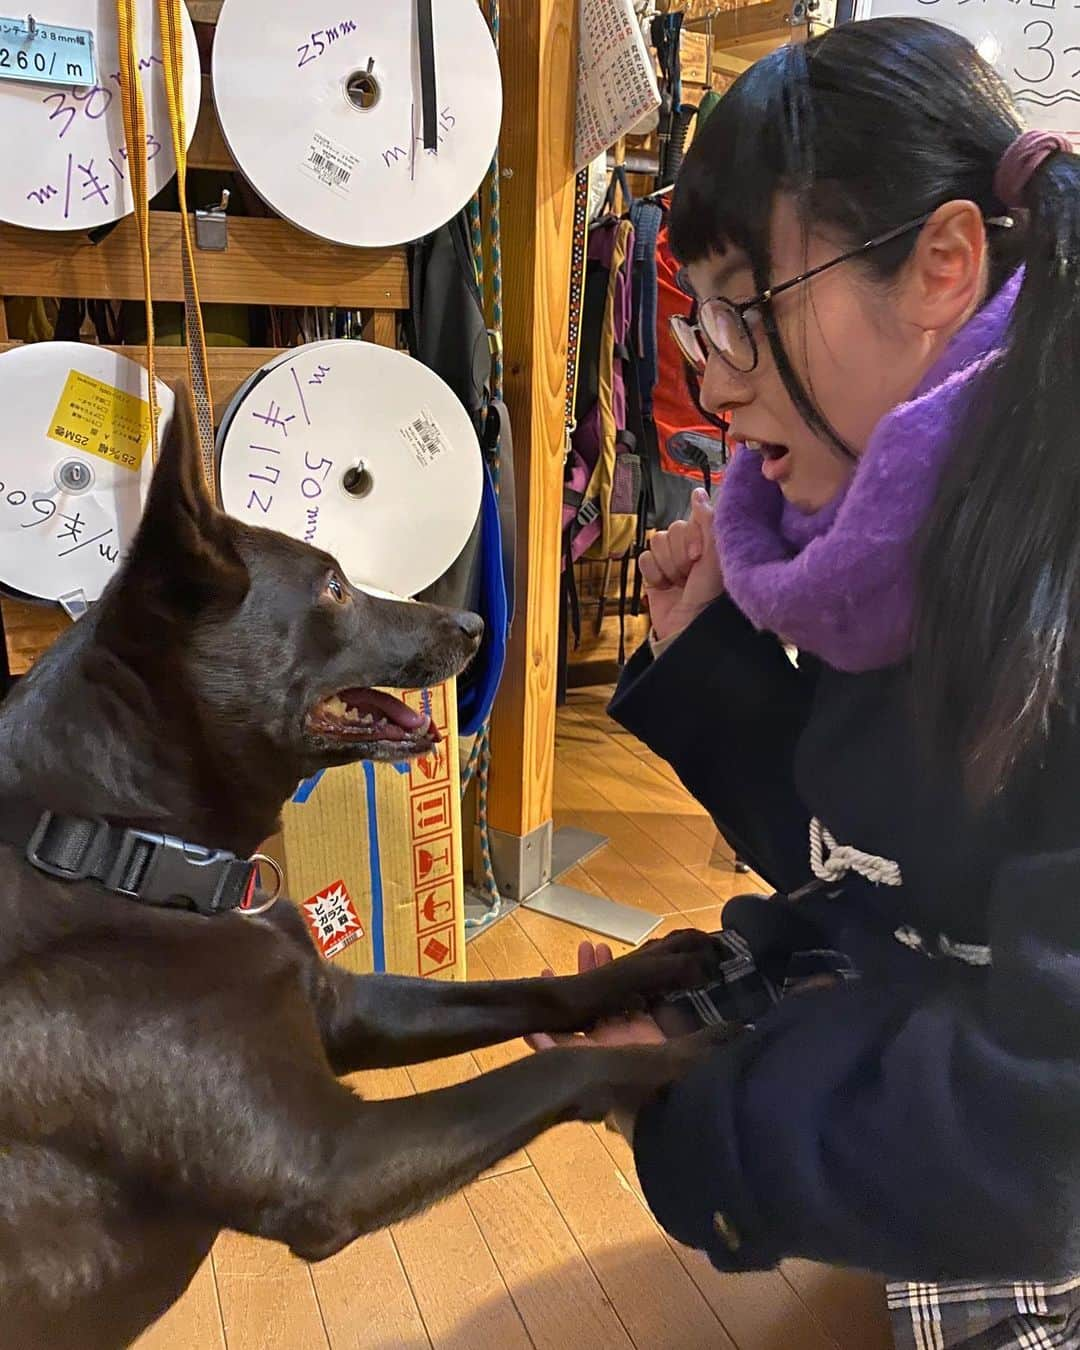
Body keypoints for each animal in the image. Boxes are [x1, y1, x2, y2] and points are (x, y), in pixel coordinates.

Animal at [0, 386, 723, 1344]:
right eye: (334, 587)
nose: (476, 622)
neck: (123, 850)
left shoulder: (345, 1007)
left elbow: (534, 994)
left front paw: (663, 964)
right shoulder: (330, 1162)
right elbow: (555, 1065)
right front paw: (706, 1052)